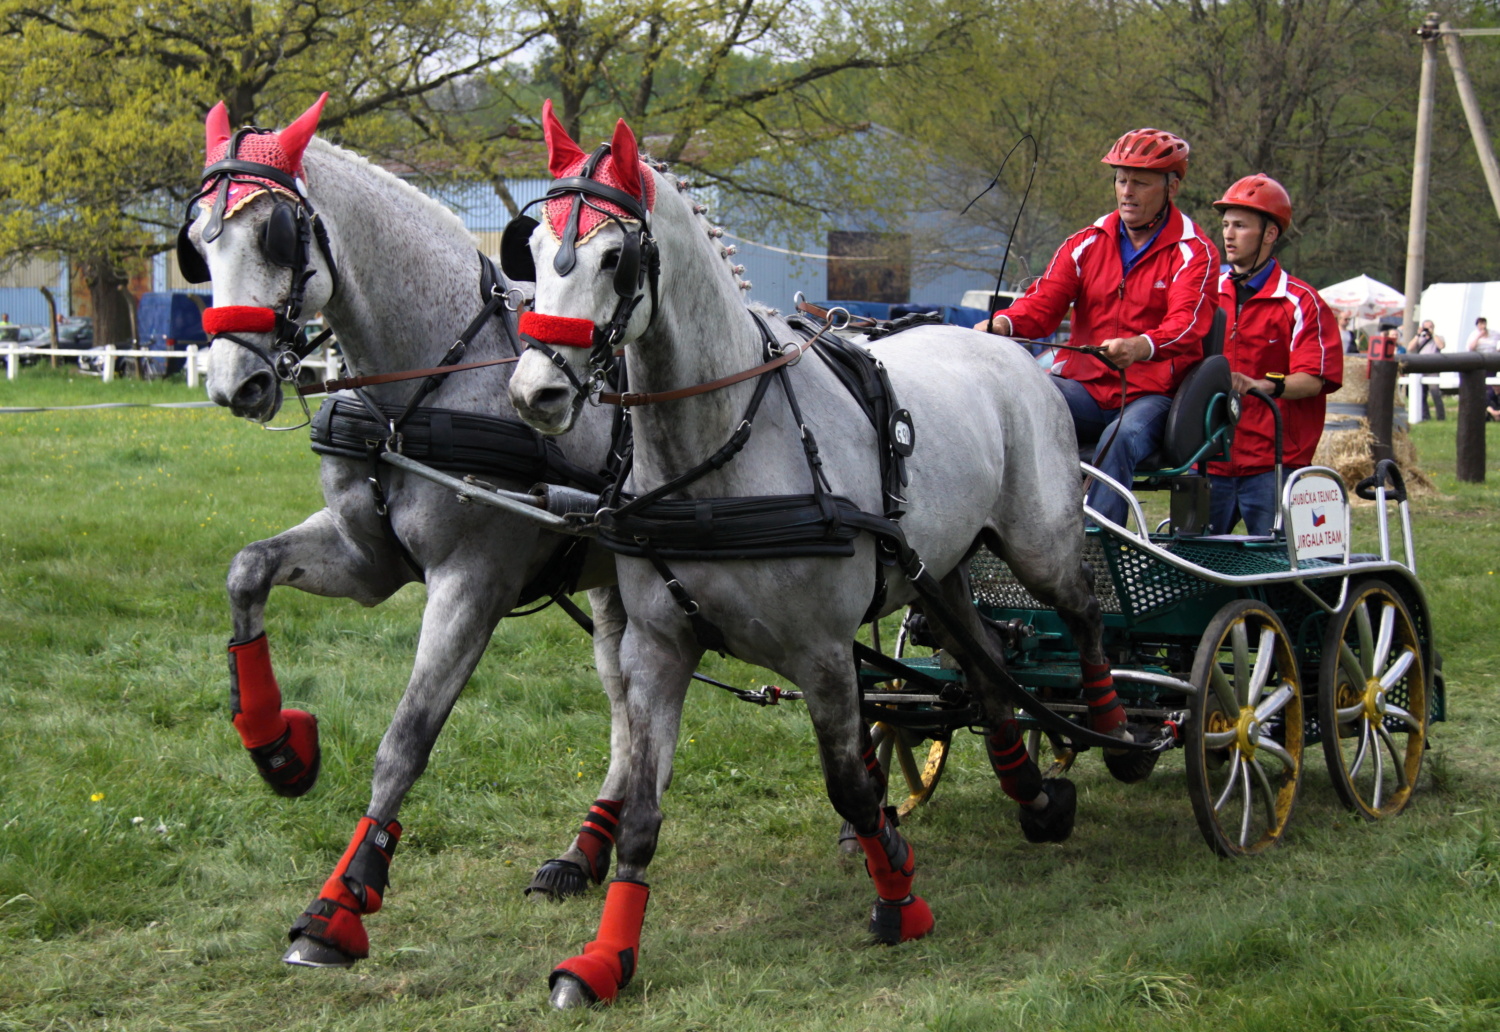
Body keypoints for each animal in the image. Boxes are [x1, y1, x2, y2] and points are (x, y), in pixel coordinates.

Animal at [183, 94, 639, 966]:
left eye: (276, 234)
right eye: (197, 241)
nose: (233, 383)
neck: (428, 386)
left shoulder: (472, 584)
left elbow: (406, 737)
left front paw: (340, 902)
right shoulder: (365, 559)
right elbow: (246, 570)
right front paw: (278, 746)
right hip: (616, 589)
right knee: (630, 712)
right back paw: (584, 849)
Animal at [507, 106, 1128, 1008]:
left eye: (614, 257)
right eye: (532, 245)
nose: (535, 393)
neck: (721, 449)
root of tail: (1009, 344)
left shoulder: (824, 653)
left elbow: (852, 785)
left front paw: (900, 900)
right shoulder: (658, 646)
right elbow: (643, 812)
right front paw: (603, 957)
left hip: (1038, 541)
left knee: (1080, 613)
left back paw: (1114, 728)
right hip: (938, 573)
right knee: (985, 669)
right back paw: (1035, 794)